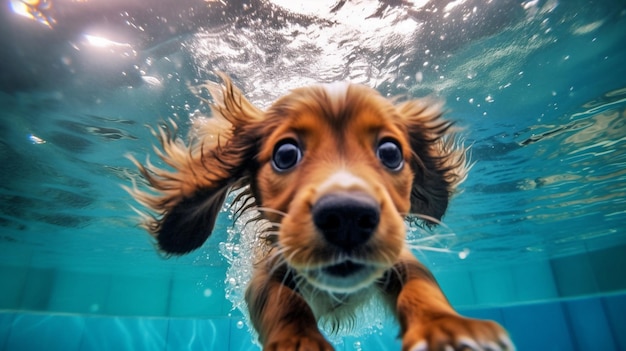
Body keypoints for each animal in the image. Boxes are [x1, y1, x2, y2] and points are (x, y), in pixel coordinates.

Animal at [125, 75, 512, 351]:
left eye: (390, 152)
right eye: (285, 154)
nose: (348, 218)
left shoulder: (400, 258)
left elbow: (422, 288)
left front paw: (447, 327)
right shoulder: (267, 271)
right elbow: (286, 304)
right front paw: (298, 342)